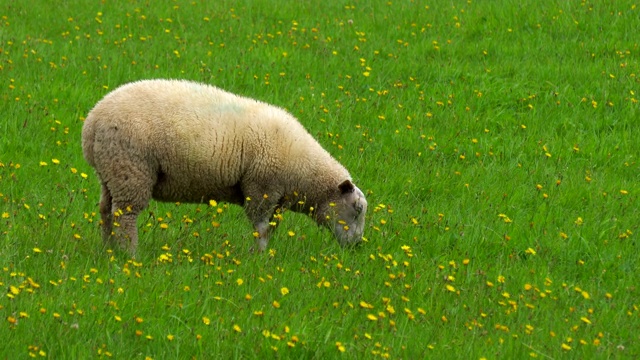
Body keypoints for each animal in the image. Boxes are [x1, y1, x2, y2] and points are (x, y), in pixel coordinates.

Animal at [82, 79, 368, 253]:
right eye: (357, 209)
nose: (356, 247)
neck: (306, 174)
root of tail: (93, 121)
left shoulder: (274, 196)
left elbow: (271, 227)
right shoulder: (261, 188)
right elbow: (261, 228)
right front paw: (258, 256)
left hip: (111, 172)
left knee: (106, 210)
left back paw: (108, 249)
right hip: (132, 170)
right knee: (126, 216)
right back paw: (130, 254)